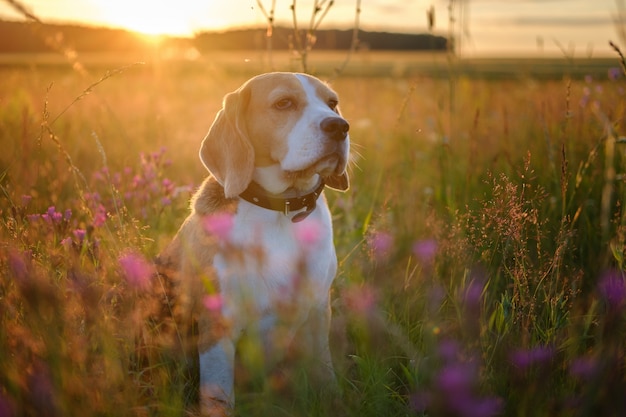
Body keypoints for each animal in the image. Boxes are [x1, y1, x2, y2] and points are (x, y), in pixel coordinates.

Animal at [156, 71, 348, 412]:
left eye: (332, 103)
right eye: (284, 103)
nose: (339, 126)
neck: (282, 211)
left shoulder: (317, 312)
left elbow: (325, 374)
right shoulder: (219, 327)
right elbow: (219, 396)